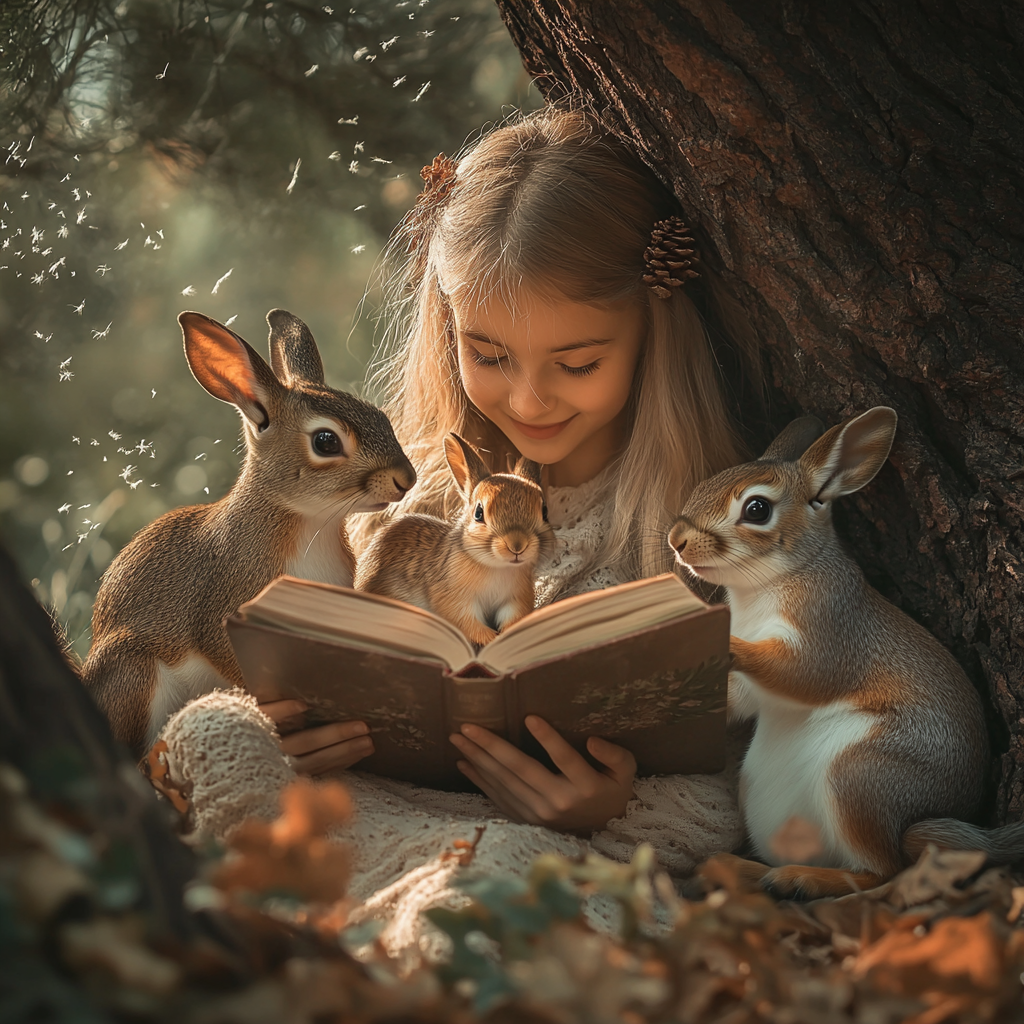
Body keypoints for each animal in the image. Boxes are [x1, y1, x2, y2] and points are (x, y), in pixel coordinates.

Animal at [80, 307, 415, 757]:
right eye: (326, 441)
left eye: (379, 415)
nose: (406, 478)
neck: (312, 524)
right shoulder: (227, 605)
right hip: (135, 673)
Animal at [356, 434, 557, 643]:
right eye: (478, 513)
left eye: (544, 512)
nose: (517, 545)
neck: (497, 567)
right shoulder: (454, 598)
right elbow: (467, 621)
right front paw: (490, 639)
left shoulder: (515, 600)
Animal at [663, 405, 1015, 897]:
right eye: (704, 483)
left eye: (757, 509)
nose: (676, 538)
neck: (760, 590)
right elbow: (742, 700)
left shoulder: (832, 627)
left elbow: (805, 673)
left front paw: (723, 644)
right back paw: (742, 870)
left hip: (862, 778)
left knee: (882, 871)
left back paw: (801, 878)